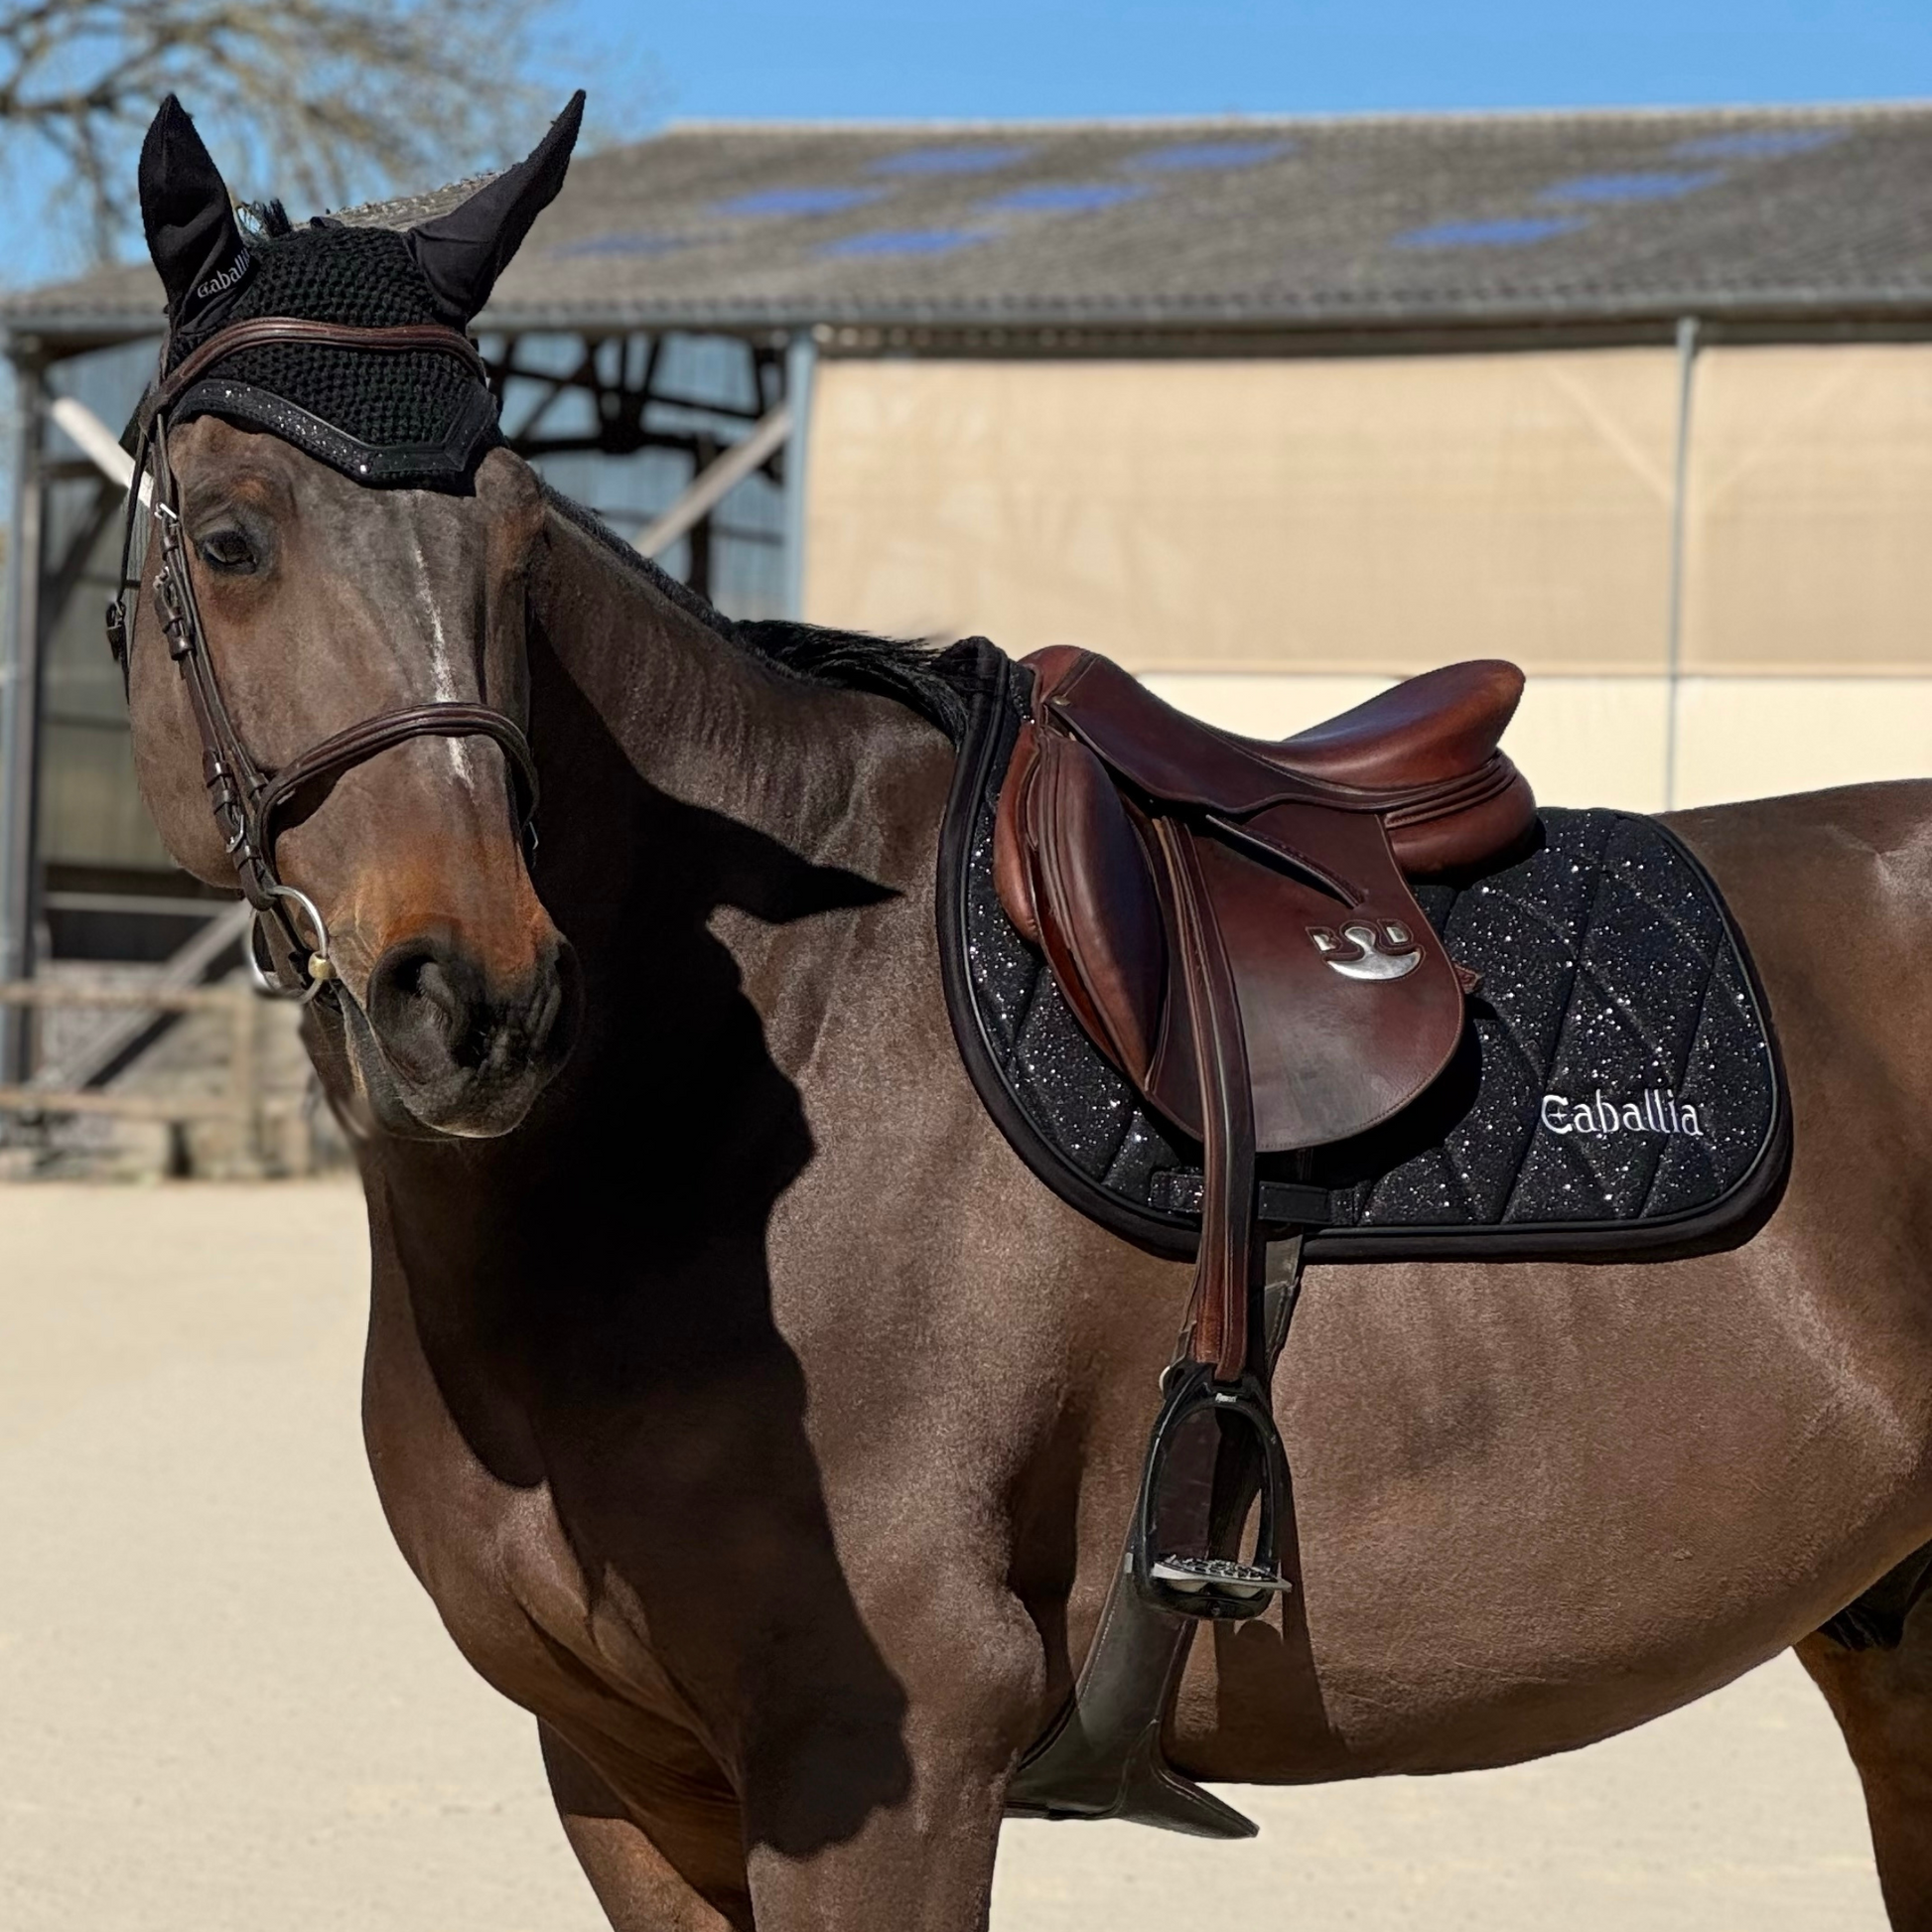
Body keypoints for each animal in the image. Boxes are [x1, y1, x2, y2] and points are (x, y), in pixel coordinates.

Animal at [116, 95, 1932, 1929]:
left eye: (517, 546)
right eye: (229, 534)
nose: (478, 996)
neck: (703, 1115)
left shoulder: (882, 1771)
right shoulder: (621, 1780)